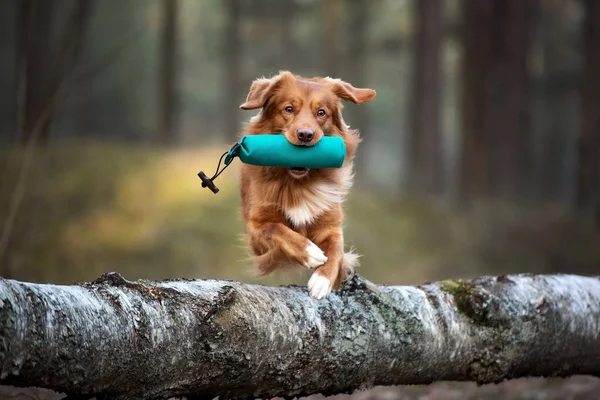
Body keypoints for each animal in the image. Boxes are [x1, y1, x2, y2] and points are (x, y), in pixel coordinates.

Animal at [236, 70, 372, 298]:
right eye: (289, 109)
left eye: (321, 112)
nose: (305, 135)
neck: (298, 184)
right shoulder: (256, 230)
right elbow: (277, 229)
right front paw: (310, 251)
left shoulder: (331, 225)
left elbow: (336, 249)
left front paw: (322, 279)